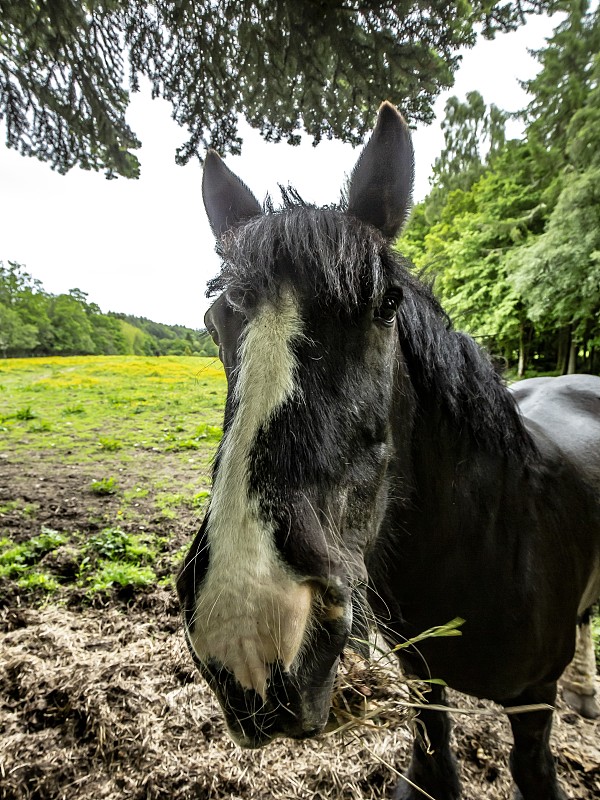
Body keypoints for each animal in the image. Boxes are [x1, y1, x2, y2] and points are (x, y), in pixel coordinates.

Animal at [178, 103, 600, 796]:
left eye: (385, 305)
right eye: (217, 324)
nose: (247, 623)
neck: (489, 544)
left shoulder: (535, 700)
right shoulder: (422, 681)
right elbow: (435, 762)